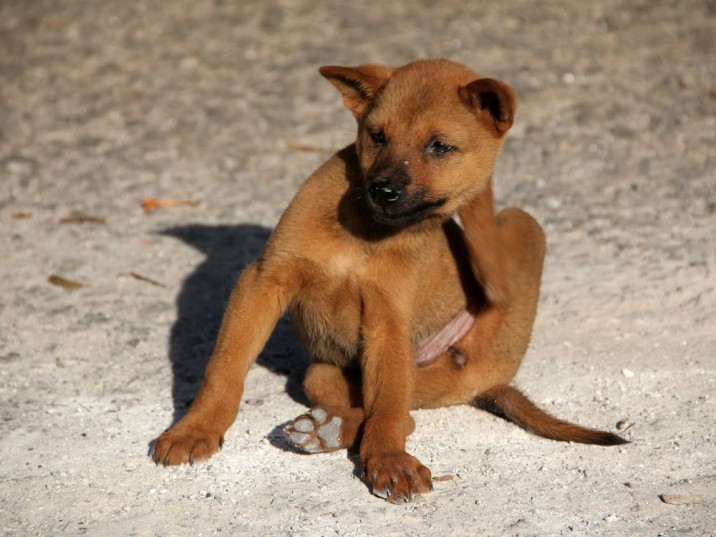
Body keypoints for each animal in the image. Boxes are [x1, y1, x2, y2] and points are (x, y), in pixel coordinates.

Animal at [152, 59, 628, 502]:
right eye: (376, 136)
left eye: (439, 146)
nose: (383, 191)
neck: (366, 232)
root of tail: (492, 380)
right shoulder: (263, 281)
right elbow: (225, 368)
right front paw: (195, 428)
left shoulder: (387, 323)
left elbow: (387, 412)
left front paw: (388, 461)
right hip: (323, 374)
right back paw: (323, 427)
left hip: (517, 228)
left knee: (403, 412)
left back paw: (326, 430)